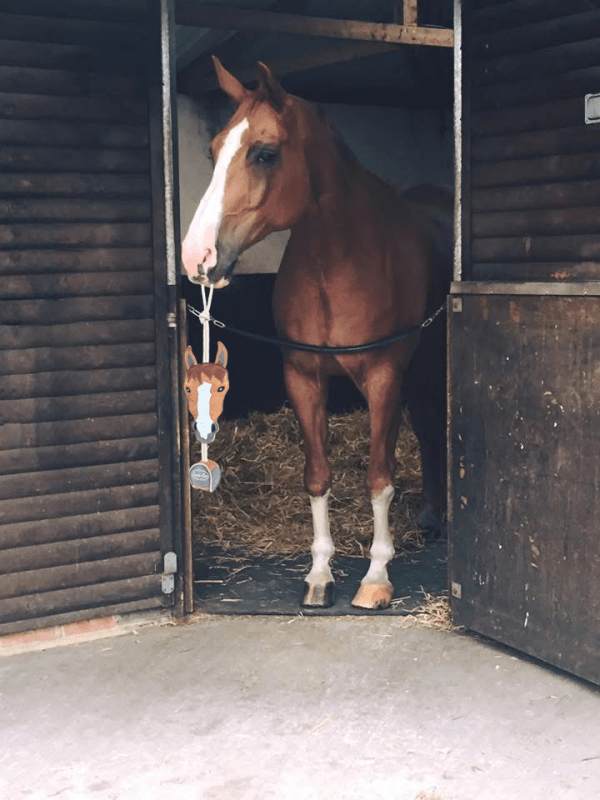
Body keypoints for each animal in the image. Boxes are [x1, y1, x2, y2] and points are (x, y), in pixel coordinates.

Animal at [181, 57, 452, 610]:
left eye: (265, 153)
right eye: (213, 151)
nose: (196, 255)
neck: (337, 262)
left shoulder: (383, 377)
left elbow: (378, 477)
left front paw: (376, 576)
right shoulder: (303, 378)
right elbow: (317, 475)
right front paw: (320, 573)